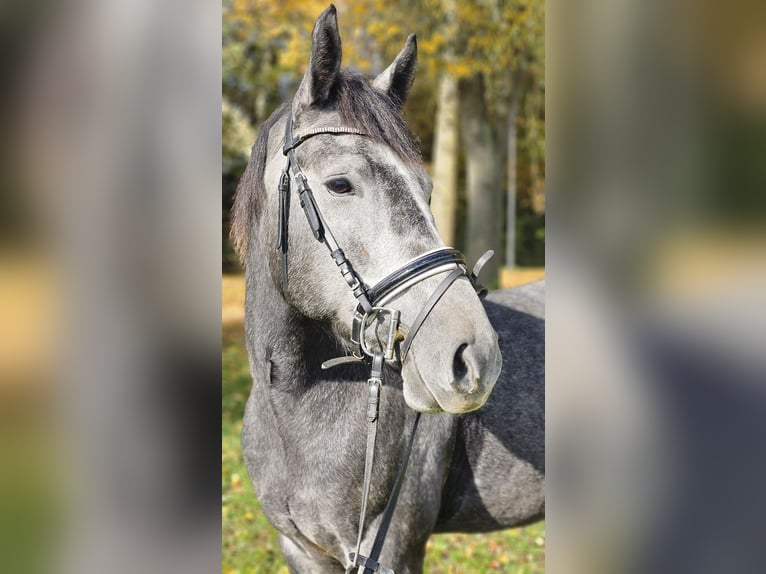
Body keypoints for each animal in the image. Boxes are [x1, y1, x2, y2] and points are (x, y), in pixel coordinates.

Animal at [234, 5, 544, 574]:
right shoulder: (302, 551)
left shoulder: (391, 546)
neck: (296, 407)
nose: (475, 355)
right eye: (340, 184)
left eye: (427, 189)